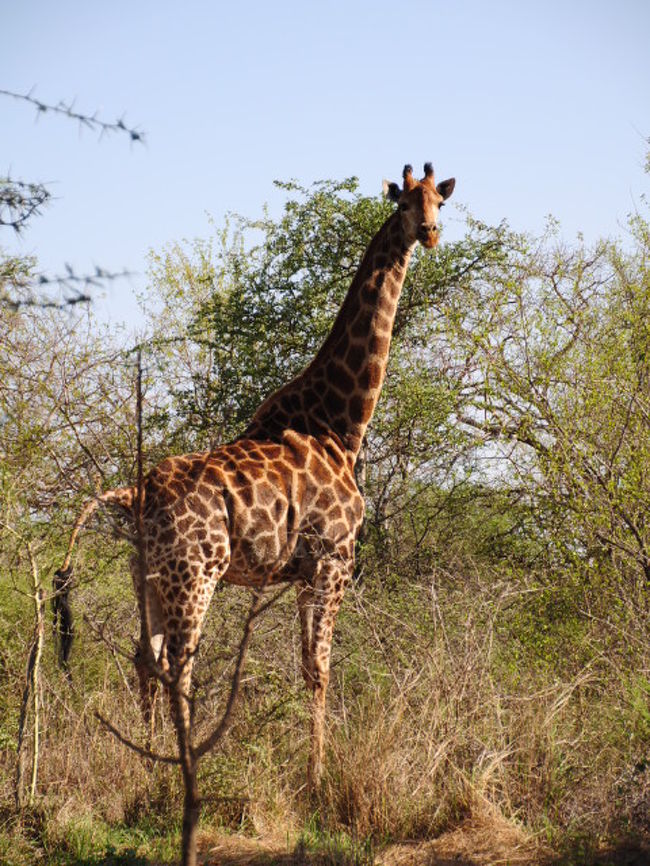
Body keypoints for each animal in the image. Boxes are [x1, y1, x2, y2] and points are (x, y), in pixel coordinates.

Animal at [55, 164, 454, 788]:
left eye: (441, 201)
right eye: (405, 202)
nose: (431, 233)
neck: (341, 425)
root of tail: (133, 492)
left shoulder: (303, 570)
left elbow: (306, 666)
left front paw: (311, 768)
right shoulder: (333, 559)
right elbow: (319, 670)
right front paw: (317, 776)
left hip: (146, 576)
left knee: (146, 657)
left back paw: (148, 765)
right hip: (195, 575)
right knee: (178, 665)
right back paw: (183, 769)